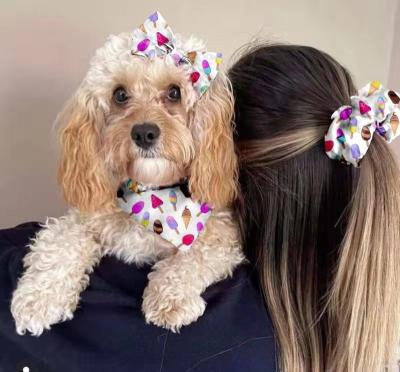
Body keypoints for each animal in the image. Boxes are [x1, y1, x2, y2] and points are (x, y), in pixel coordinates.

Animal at [10, 24, 244, 336]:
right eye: (119, 94)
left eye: (174, 92)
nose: (144, 132)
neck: (150, 196)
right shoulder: (81, 218)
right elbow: (58, 245)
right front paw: (38, 299)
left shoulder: (222, 235)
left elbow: (192, 259)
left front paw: (170, 299)